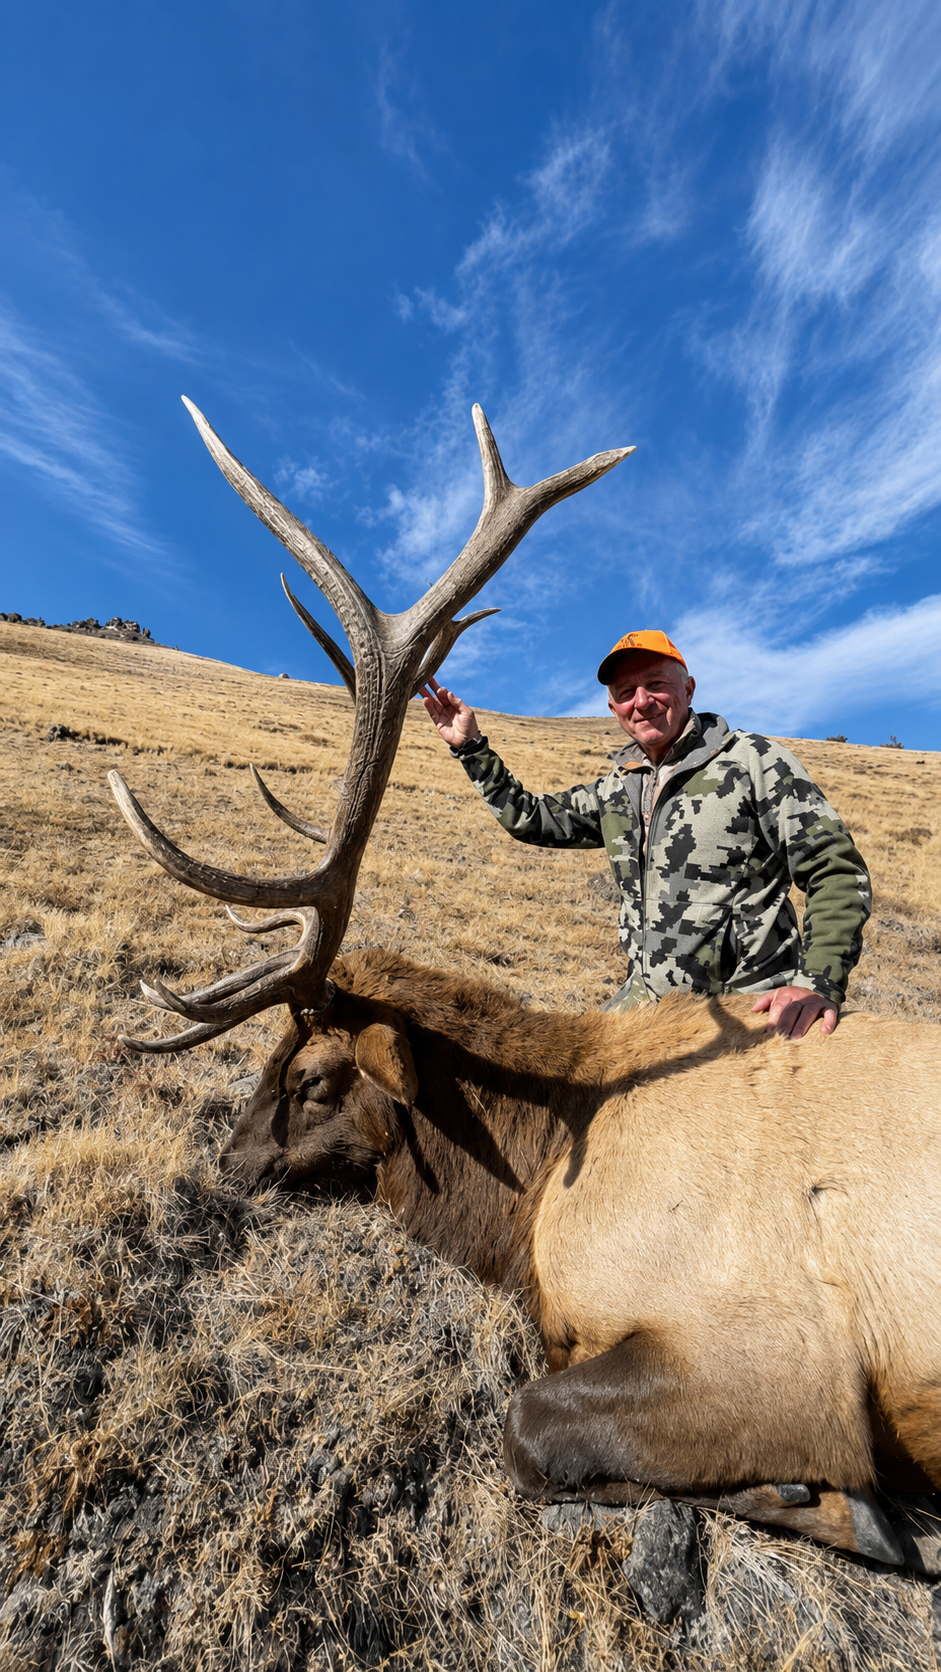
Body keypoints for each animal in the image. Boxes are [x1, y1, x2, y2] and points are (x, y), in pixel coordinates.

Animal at [108, 398, 941, 1567]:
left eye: (312, 1073)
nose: (226, 1166)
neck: (536, 1181)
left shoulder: (781, 1350)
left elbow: (528, 1426)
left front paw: (841, 1508)